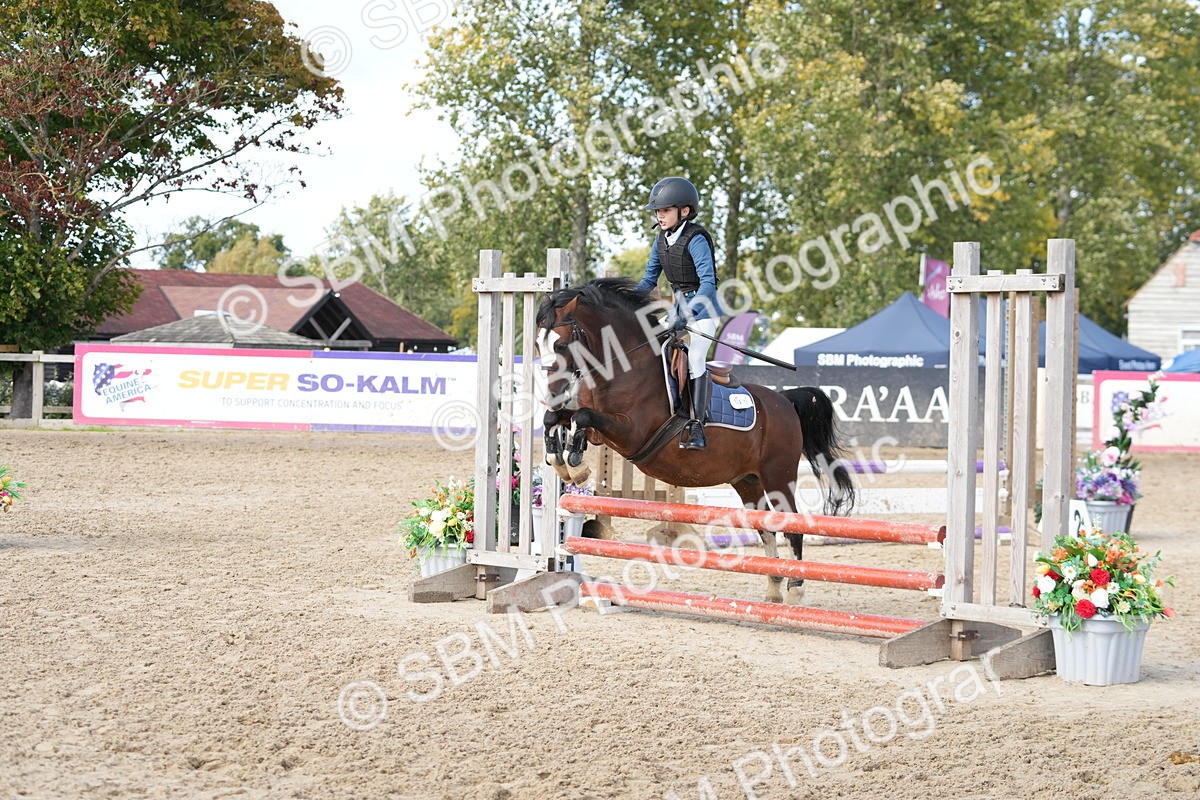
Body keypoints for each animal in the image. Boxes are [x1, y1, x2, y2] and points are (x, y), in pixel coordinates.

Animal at [535, 276, 856, 605]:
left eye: (560, 345)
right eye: (538, 344)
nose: (551, 395)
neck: (624, 366)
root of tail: (785, 401)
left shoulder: (630, 433)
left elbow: (582, 416)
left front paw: (574, 465)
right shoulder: (600, 431)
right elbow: (557, 418)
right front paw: (562, 461)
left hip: (779, 474)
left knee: (791, 525)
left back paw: (795, 590)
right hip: (749, 481)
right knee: (766, 526)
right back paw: (773, 588)